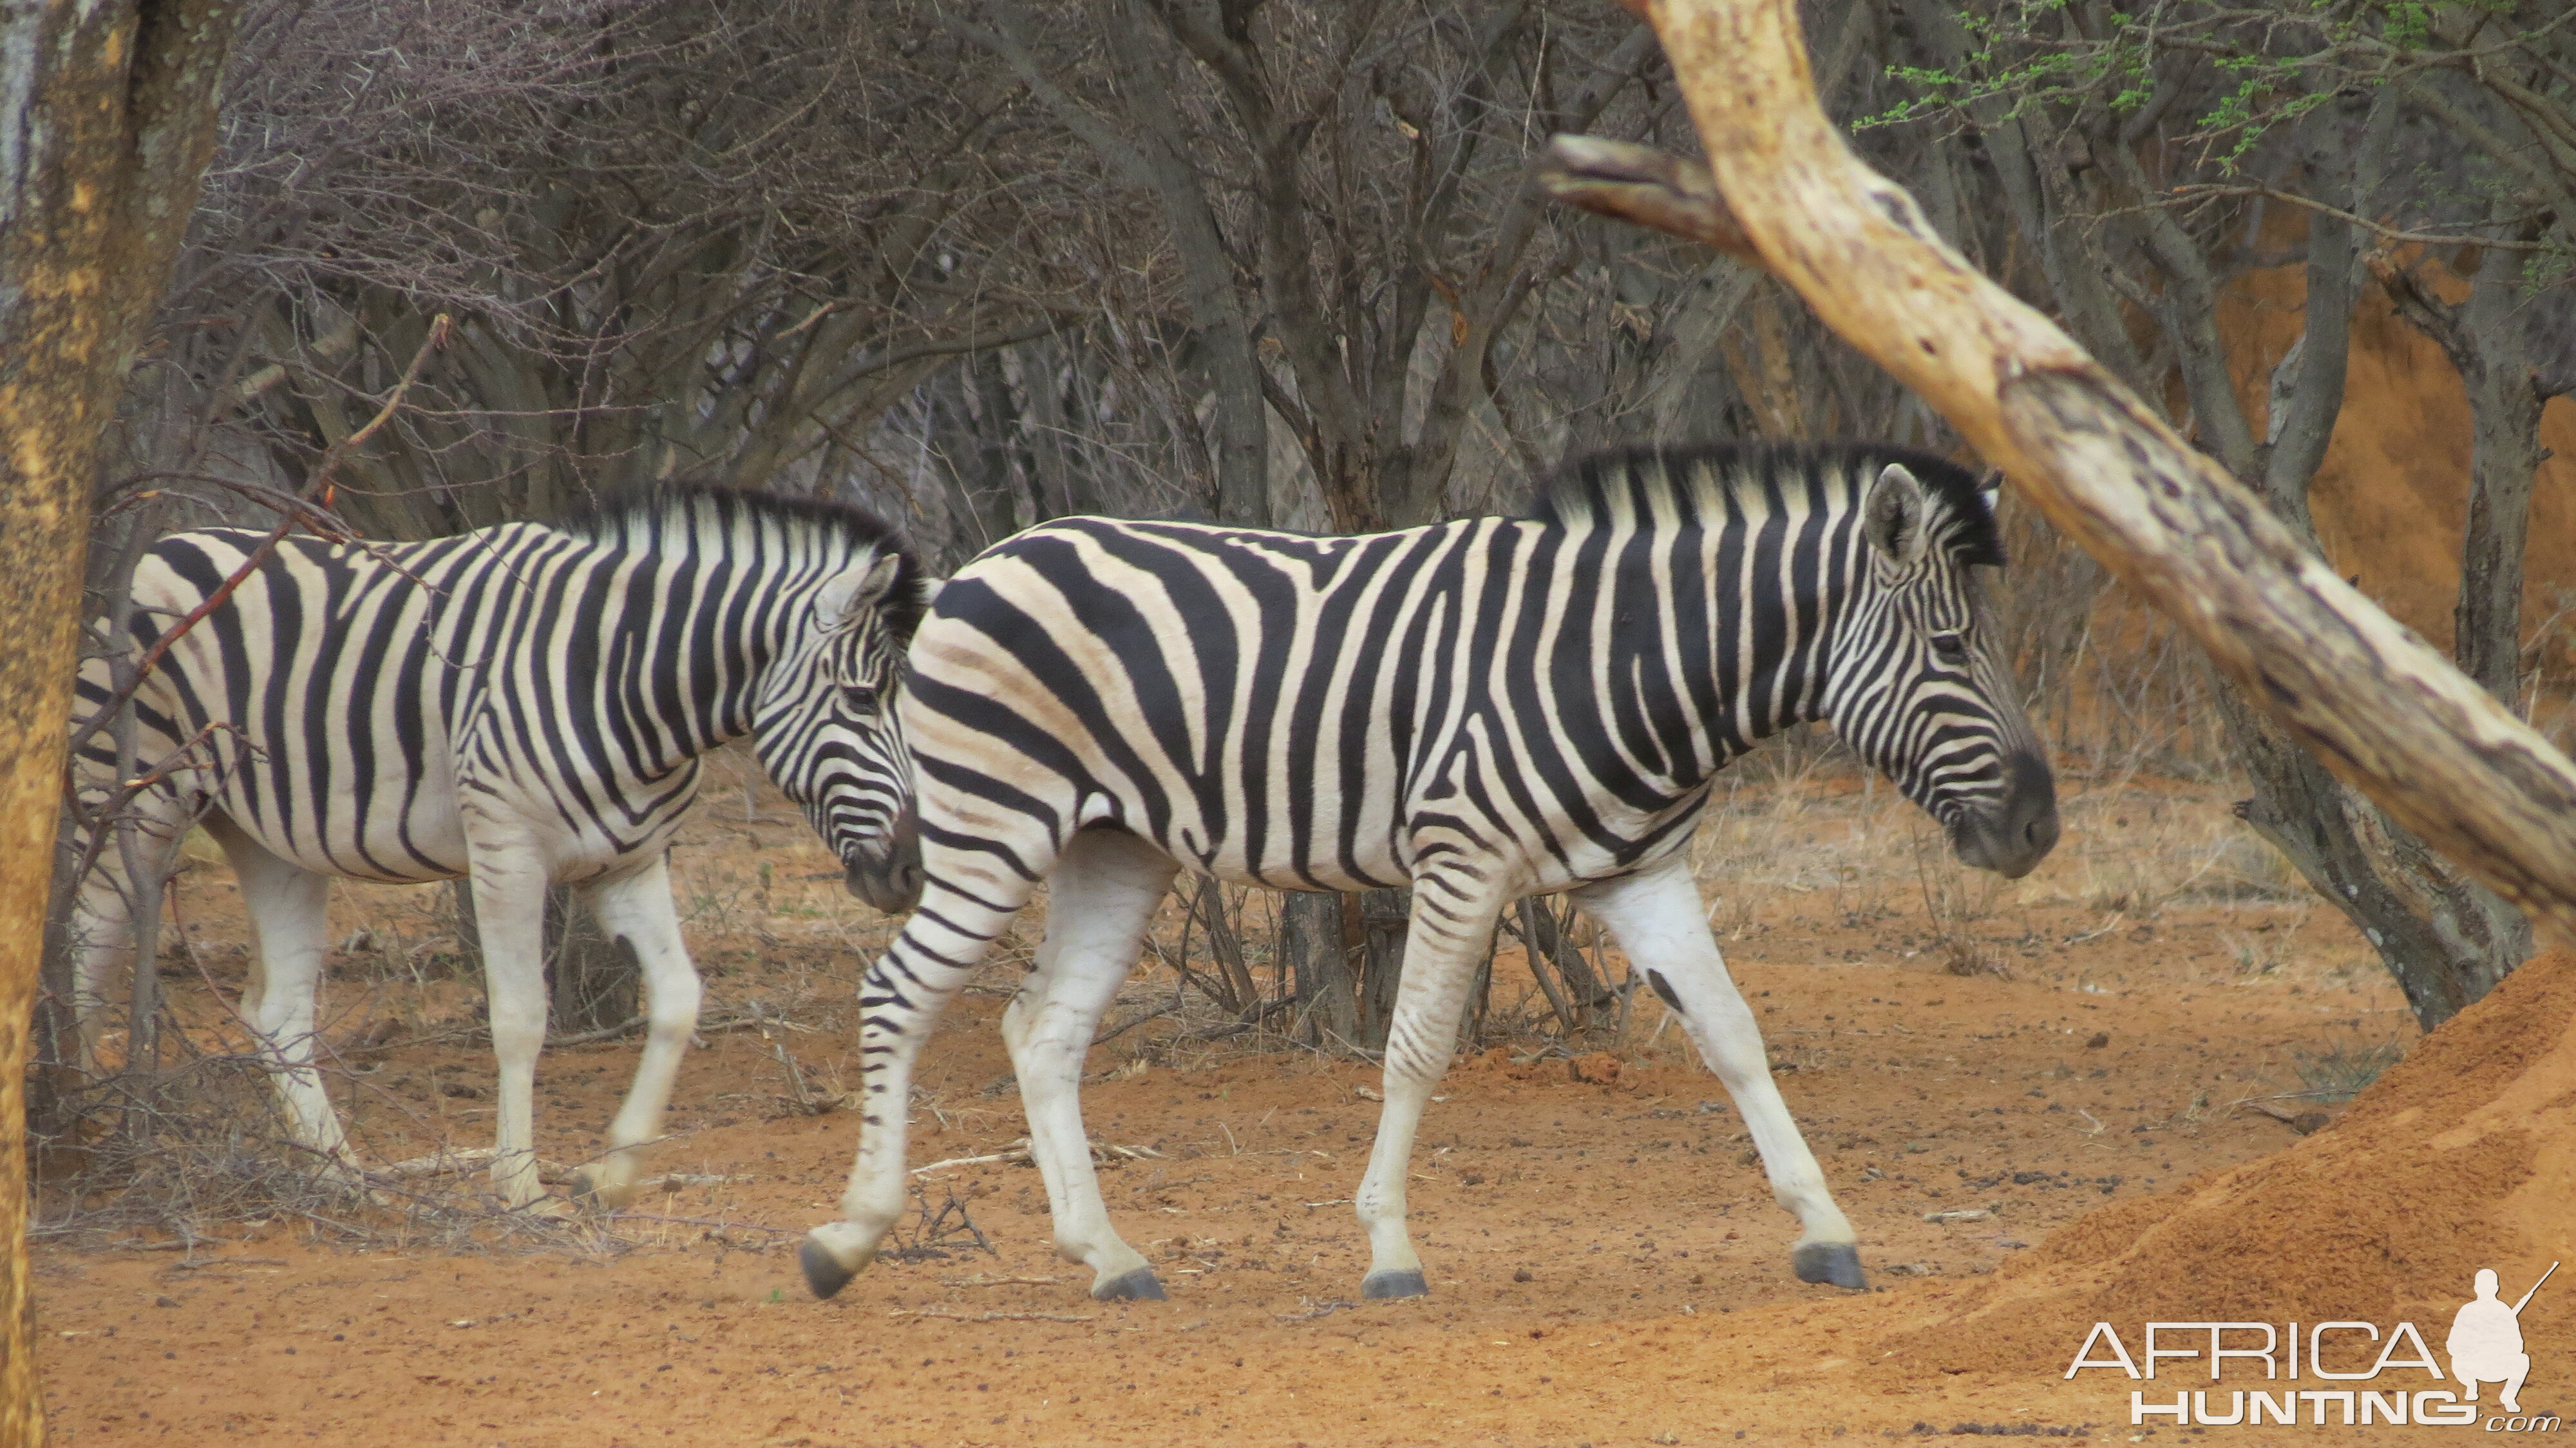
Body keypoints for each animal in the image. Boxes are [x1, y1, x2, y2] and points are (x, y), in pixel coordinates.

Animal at [68, 484, 938, 1206]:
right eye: (863, 699)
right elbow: (521, 1017)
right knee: (86, 958)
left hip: (269, 840)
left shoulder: (630, 864)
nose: (910, 872)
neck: (628, 681)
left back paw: (340, 1177)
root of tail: (163, 543)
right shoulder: (507, 851)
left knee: (276, 1012)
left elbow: (680, 1001)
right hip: (131, 796)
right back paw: (79, 1132)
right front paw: (519, 1183)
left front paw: (613, 1170)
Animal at [793, 438, 2061, 1299]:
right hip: (994, 821)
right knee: (897, 993)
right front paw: (1390, 1249)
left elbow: (1735, 1032)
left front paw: (1826, 1226)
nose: (2040, 829)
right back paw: (847, 1239)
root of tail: (988, 558)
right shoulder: (1462, 857)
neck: (1627, 662)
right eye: (1953, 647)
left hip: (1116, 849)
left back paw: (1108, 1258)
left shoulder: (1640, 874)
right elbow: (1415, 1049)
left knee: (1041, 1030)